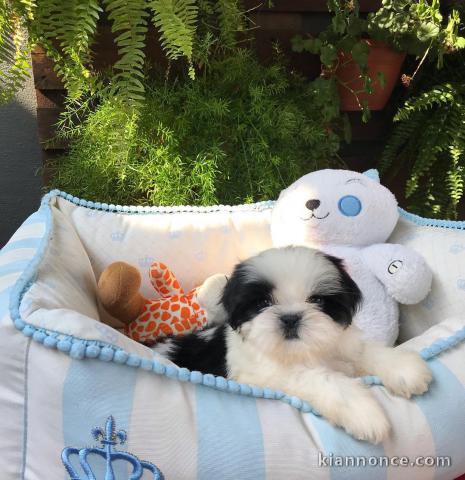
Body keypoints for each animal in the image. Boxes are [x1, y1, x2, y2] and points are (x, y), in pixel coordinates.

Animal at [155, 246, 432, 444]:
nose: (290, 317)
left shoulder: (340, 343)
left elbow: (363, 351)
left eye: (317, 300)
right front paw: (363, 412)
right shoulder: (268, 375)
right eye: (262, 303)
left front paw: (403, 368)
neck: (304, 352)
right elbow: (323, 380)